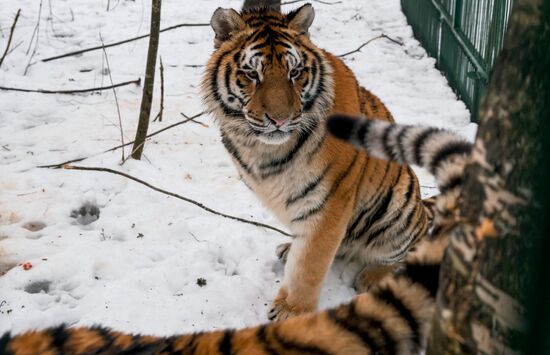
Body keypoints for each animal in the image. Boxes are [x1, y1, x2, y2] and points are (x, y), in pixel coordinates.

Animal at [203, 2, 436, 322]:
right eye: (251, 74)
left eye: (295, 72)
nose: (280, 120)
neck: (263, 149)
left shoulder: (330, 203)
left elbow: (309, 264)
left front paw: (292, 312)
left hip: (397, 210)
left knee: (411, 248)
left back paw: (372, 277)